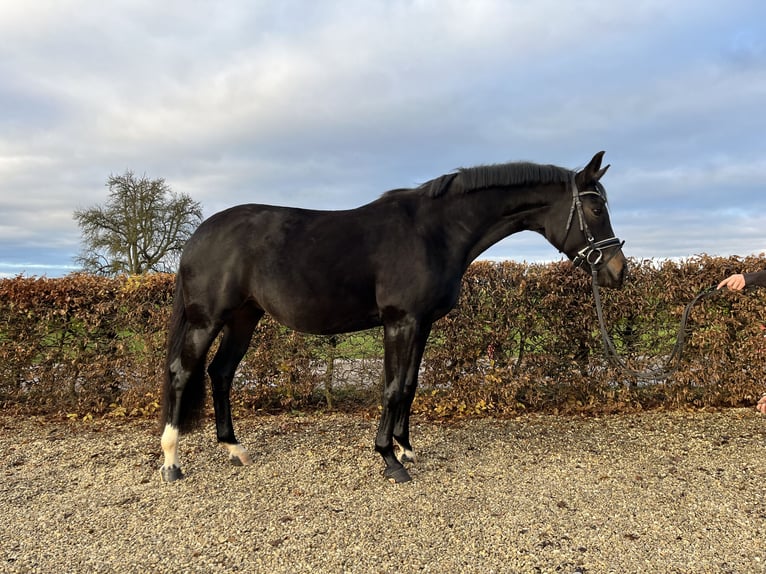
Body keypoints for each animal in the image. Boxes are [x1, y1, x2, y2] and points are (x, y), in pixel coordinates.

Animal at [159, 153, 628, 486]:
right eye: (596, 211)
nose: (618, 272)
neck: (434, 231)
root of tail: (198, 235)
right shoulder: (399, 322)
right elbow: (391, 387)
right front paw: (389, 459)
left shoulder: (422, 323)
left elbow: (410, 385)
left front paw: (405, 448)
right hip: (207, 320)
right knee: (183, 373)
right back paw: (171, 461)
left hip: (244, 317)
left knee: (220, 373)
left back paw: (234, 449)